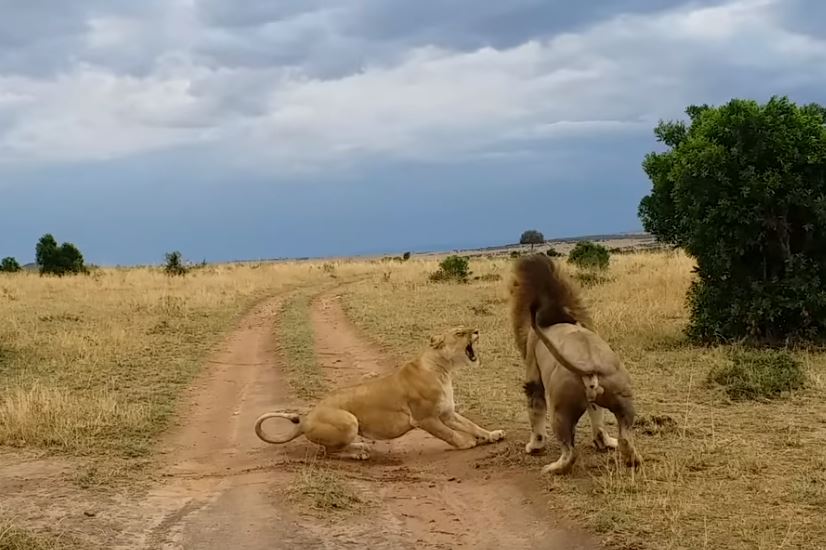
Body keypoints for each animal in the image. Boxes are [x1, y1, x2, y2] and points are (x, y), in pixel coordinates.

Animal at [253, 326, 505, 459]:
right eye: (460, 333)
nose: (476, 330)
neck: (443, 369)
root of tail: (306, 419)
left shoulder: (447, 413)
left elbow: (471, 424)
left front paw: (492, 435)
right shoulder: (424, 418)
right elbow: (449, 434)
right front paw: (466, 443)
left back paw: (361, 447)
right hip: (349, 420)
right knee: (329, 452)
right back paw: (359, 453)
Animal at [508, 253, 642, 474]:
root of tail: (591, 369)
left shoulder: (532, 374)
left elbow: (535, 412)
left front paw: (534, 447)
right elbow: (597, 419)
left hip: (560, 411)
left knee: (570, 452)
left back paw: (553, 468)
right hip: (623, 399)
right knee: (624, 436)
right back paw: (631, 458)